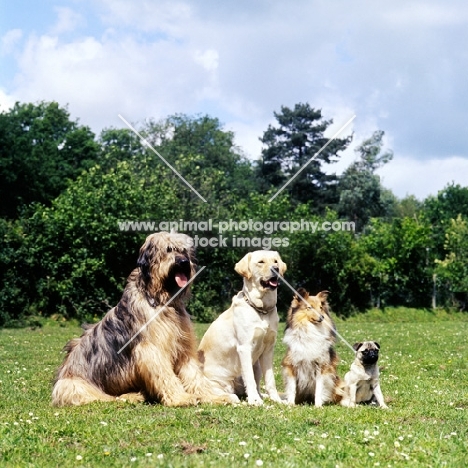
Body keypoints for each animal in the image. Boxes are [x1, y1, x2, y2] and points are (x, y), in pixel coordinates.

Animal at [51, 230, 232, 406]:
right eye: (168, 249)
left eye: (184, 251)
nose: (183, 262)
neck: (160, 299)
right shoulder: (151, 349)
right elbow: (165, 374)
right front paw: (181, 398)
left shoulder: (183, 347)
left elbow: (194, 374)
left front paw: (214, 397)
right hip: (72, 385)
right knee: (105, 397)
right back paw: (130, 396)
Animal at [197, 250, 286, 404]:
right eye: (261, 262)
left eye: (275, 261)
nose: (276, 269)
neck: (261, 310)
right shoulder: (244, 347)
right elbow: (249, 378)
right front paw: (255, 401)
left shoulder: (269, 349)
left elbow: (270, 379)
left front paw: (276, 399)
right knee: (224, 395)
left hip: (257, 365)